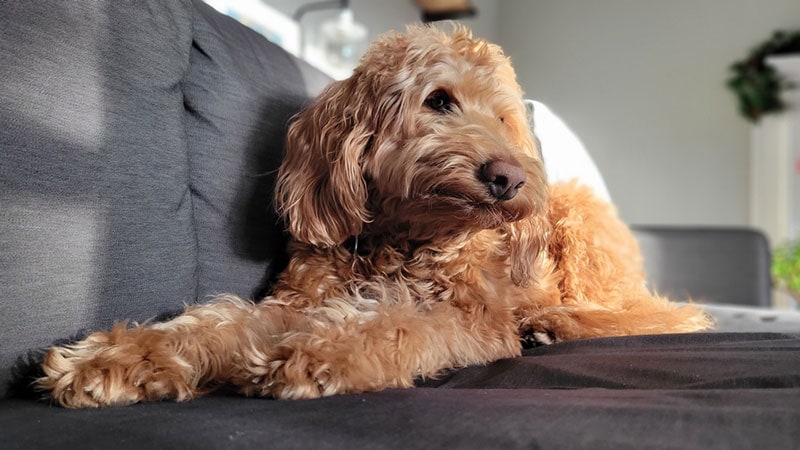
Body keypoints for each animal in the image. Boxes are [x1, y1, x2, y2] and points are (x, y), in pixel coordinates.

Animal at [37, 24, 712, 408]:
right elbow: (217, 324)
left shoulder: (466, 315)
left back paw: (556, 321)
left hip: (578, 220)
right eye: (438, 101)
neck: (403, 237)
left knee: (655, 314)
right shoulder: (298, 300)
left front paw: (320, 356)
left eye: (502, 118)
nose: (510, 177)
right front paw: (113, 360)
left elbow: (396, 325)